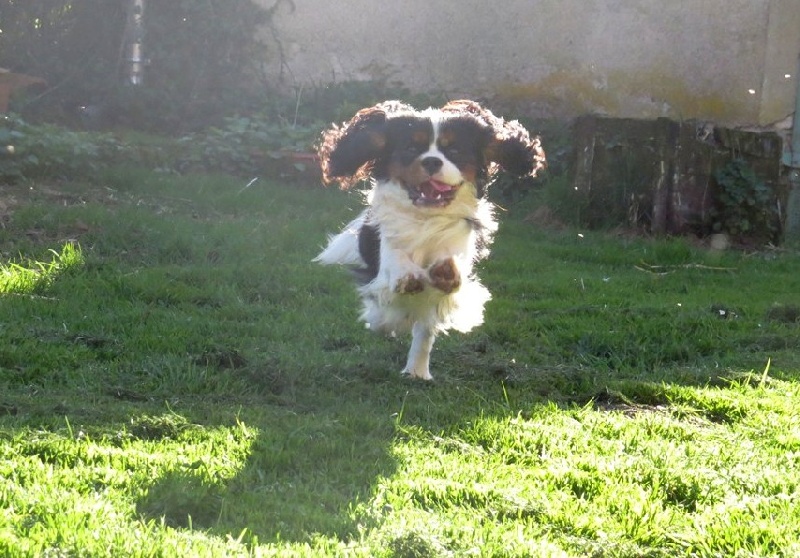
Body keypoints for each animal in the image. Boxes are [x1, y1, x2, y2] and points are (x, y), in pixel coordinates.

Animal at [316, 99, 548, 380]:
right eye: (412, 148)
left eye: (454, 151)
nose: (432, 161)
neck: (426, 217)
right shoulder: (386, 244)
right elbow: (396, 259)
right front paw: (407, 276)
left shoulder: (459, 244)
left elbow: (451, 264)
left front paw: (446, 270)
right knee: (384, 314)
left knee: (423, 329)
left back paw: (417, 371)